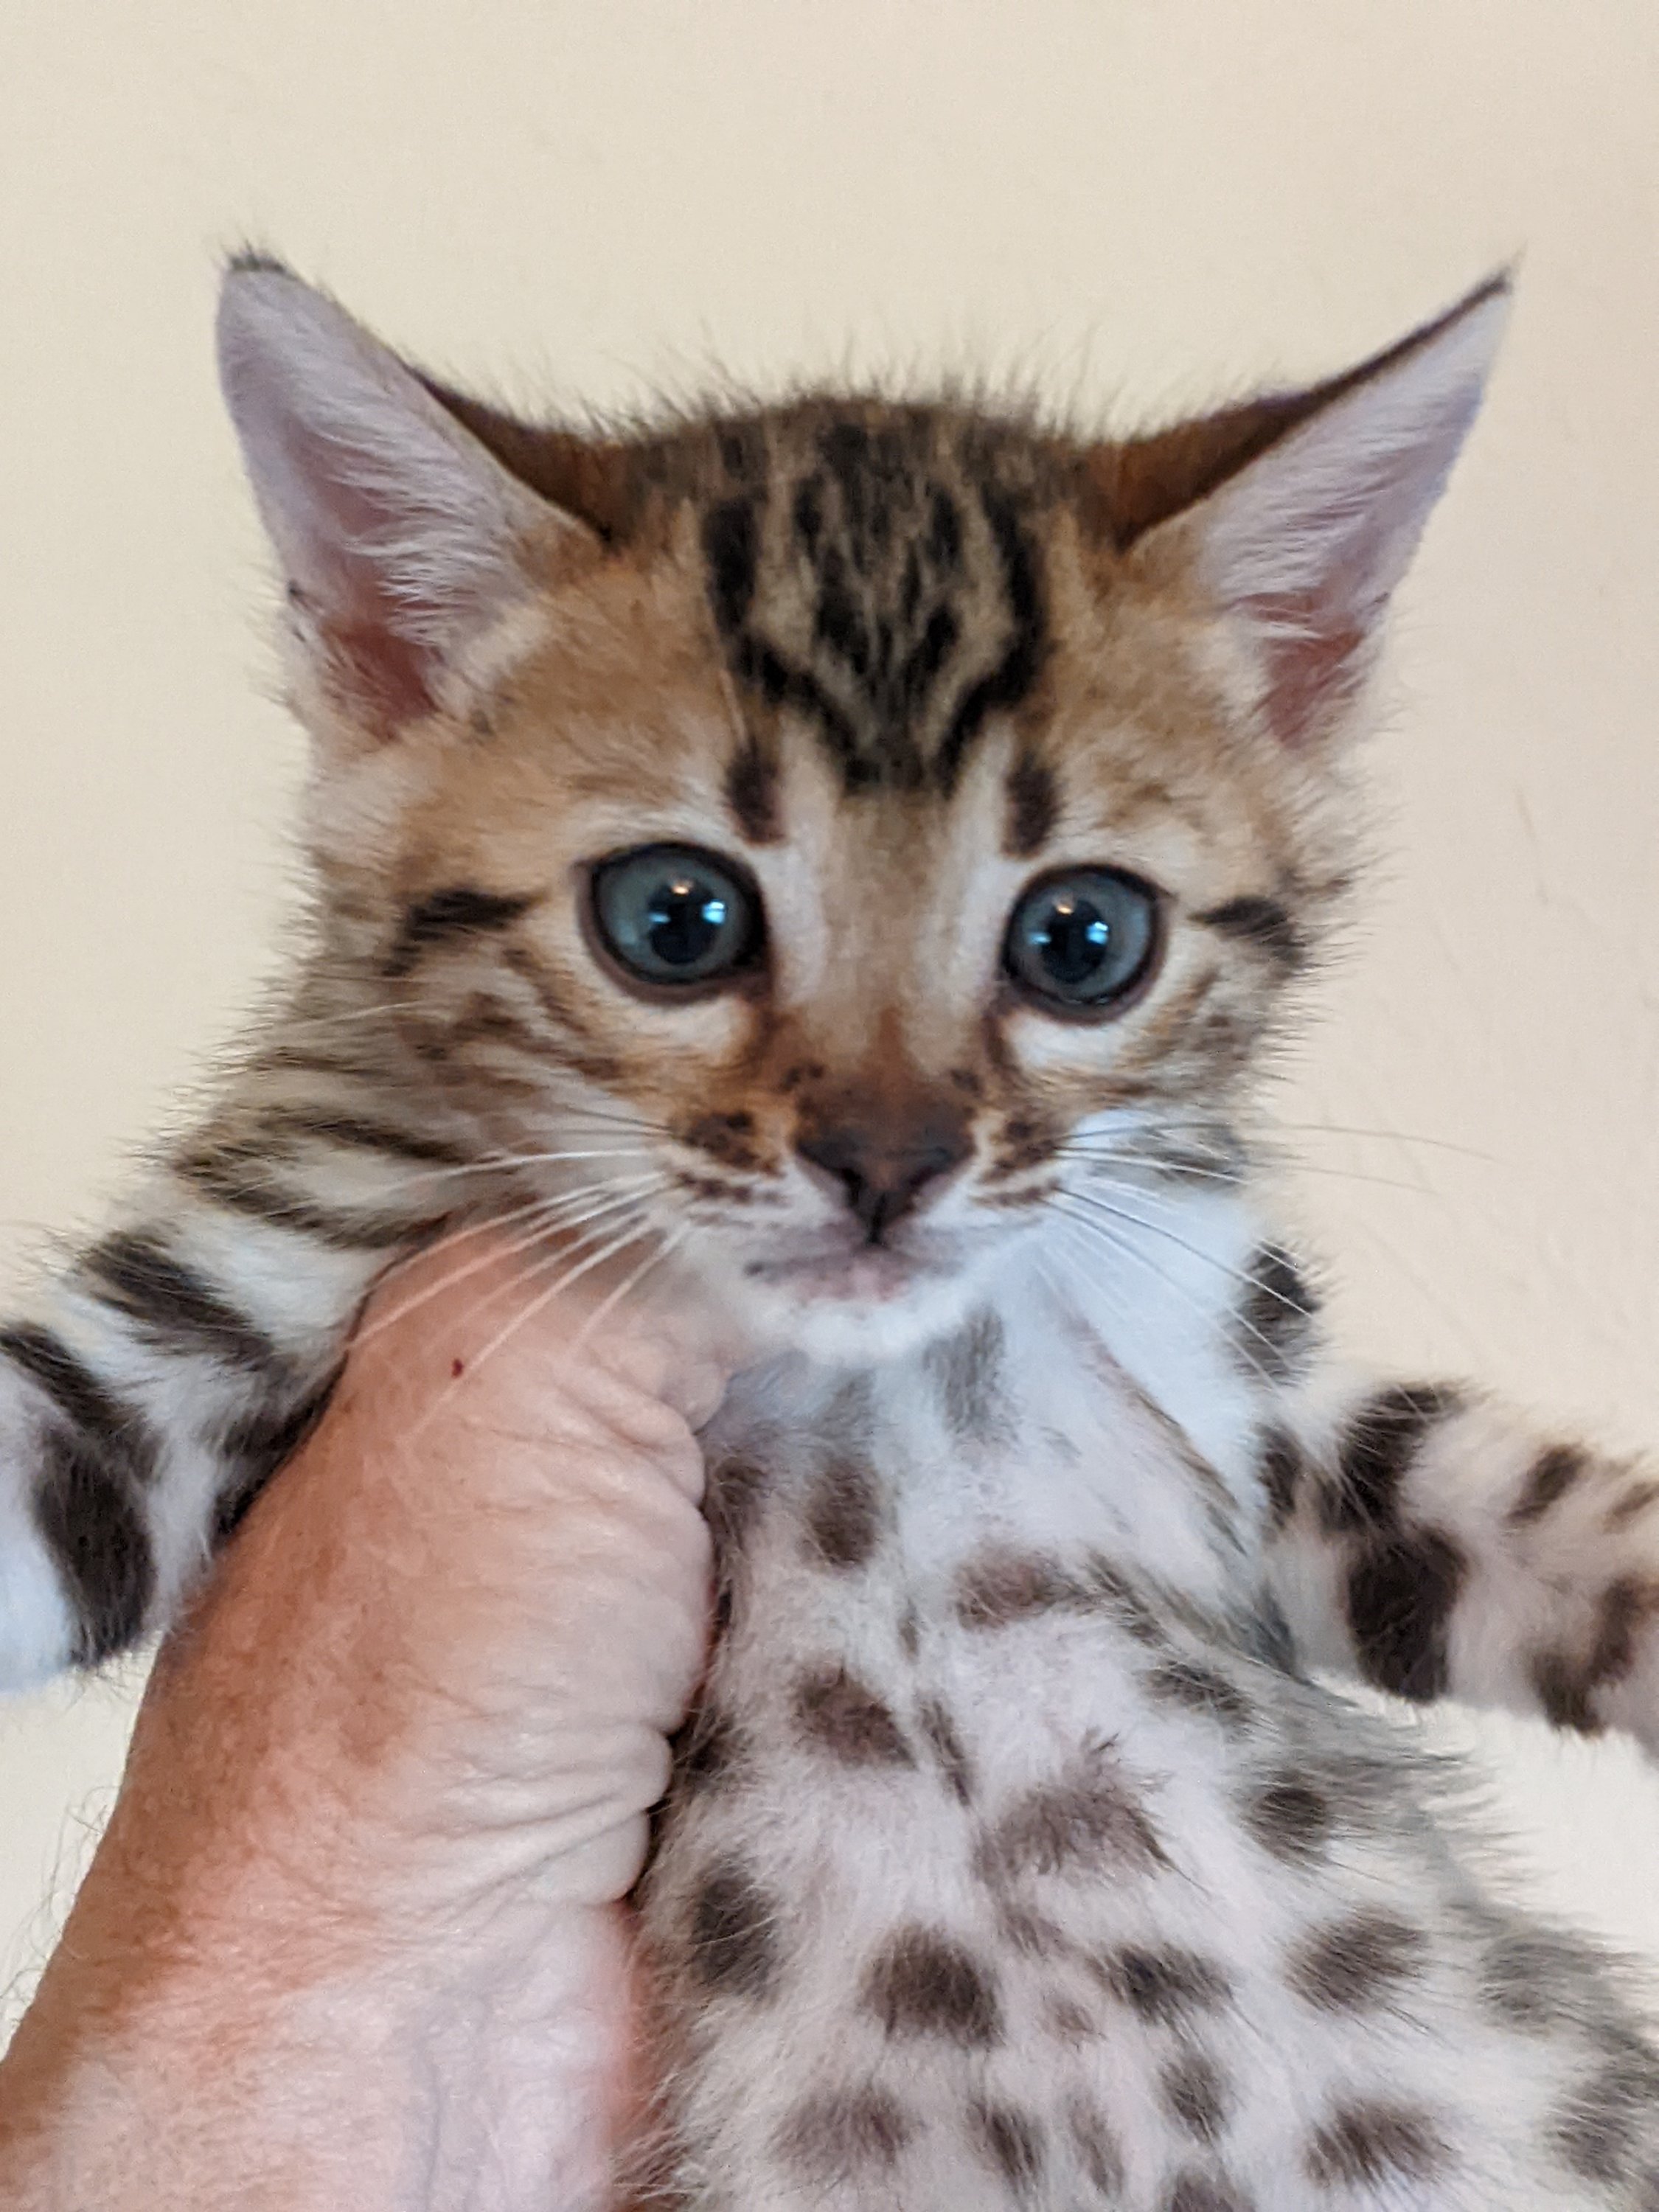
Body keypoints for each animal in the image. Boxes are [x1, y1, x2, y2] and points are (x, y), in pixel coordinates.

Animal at [4, 257, 1659, 2208]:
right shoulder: (257, 1252)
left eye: (1084, 938)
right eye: (674, 916)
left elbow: (1506, 1503)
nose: (890, 1160)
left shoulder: (1245, 1383)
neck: (890, 1370)